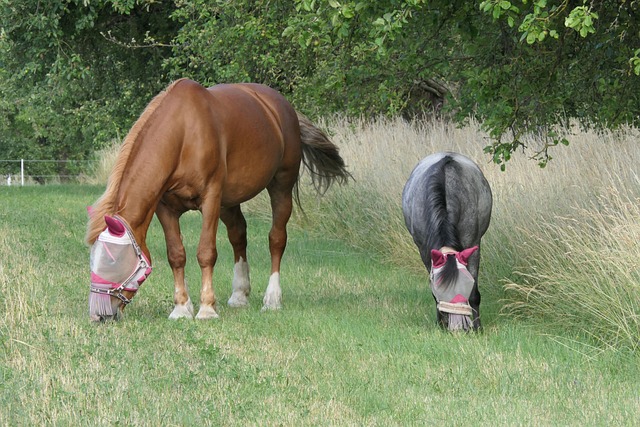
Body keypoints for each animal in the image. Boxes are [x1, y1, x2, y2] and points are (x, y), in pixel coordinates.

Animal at [85, 79, 350, 320]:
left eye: (113, 261)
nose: (99, 314)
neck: (184, 133)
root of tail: (283, 107)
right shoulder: (166, 208)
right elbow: (176, 255)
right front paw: (181, 308)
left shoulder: (211, 199)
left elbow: (206, 252)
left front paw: (207, 309)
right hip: (229, 202)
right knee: (238, 236)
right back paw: (239, 295)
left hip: (280, 187)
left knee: (276, 239)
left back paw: (272, 299)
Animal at [402, 152, 492, 332]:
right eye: (441, 289)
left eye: (466, 284)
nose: (458, 327)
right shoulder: (425, 251)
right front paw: (441, 324)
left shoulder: (473, 245)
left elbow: (474, 293)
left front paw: (477, 327)